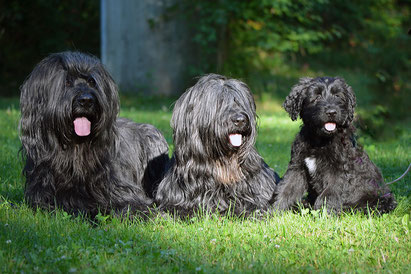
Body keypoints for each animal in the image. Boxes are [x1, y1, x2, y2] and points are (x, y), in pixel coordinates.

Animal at [20, 51, 169, 216]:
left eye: (92, 82)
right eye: (67, 81)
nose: (86, 100)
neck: (76, 148)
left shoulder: (121, 190)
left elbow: (131, 204)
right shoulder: (43, 195)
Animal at [276, 77, 398, 214]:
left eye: (338, 96)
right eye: (317, 96)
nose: (332, 112)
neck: (320, 140)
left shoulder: (338, 171)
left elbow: (327, 195)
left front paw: (323, 215)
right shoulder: (297, 167)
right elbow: (286, 189)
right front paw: (272, 213)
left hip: (380, 200)